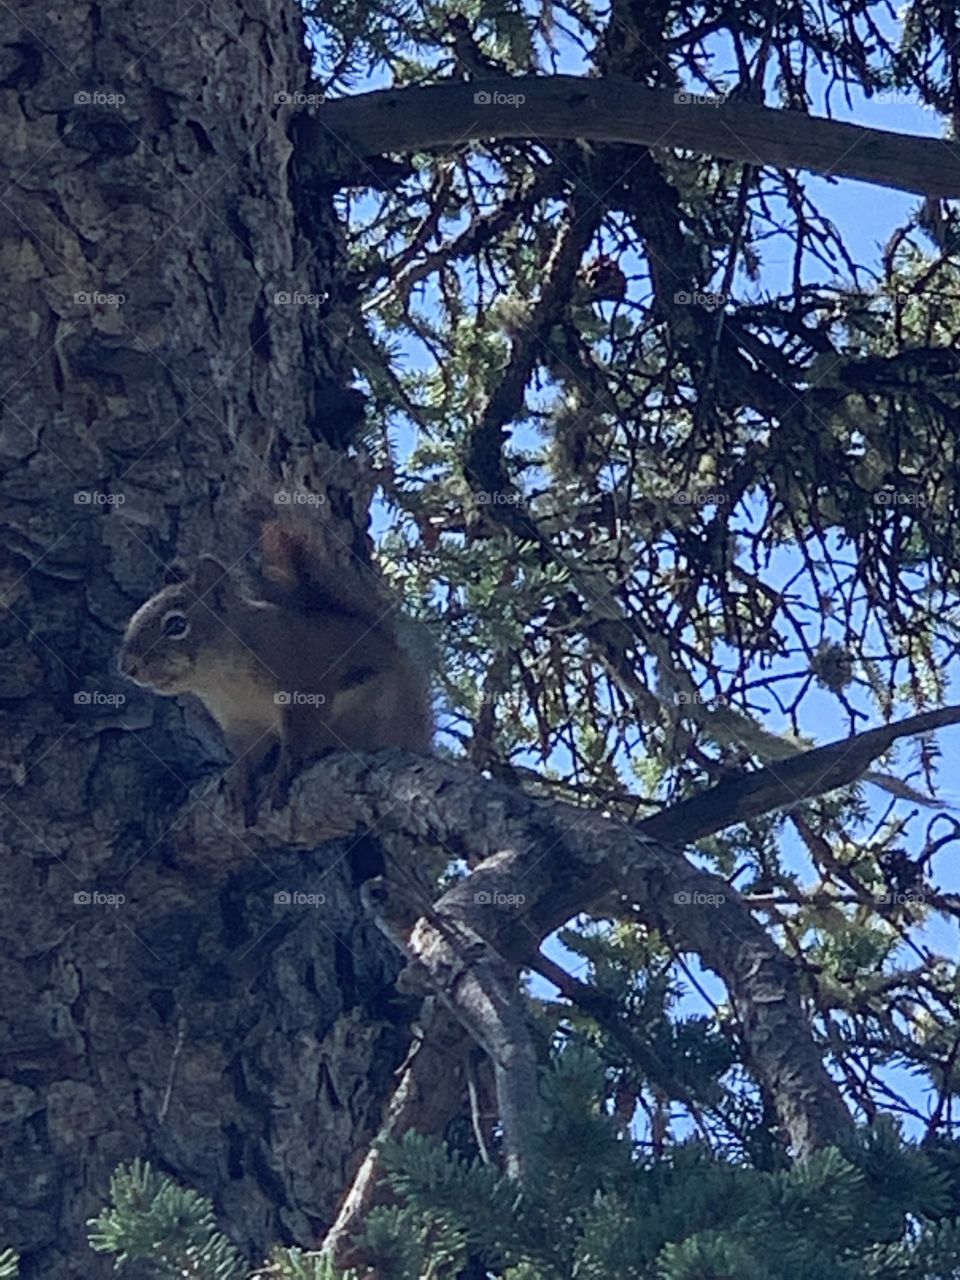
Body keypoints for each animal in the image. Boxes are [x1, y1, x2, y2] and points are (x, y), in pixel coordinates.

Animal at [118, 519, 433, 822]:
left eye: (176, 625)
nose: (128, 667)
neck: (223, 681)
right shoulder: (241, 724)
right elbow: (245, 757)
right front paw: (240, 782)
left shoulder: (304, 689)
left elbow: (295, 742)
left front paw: (281, 777)